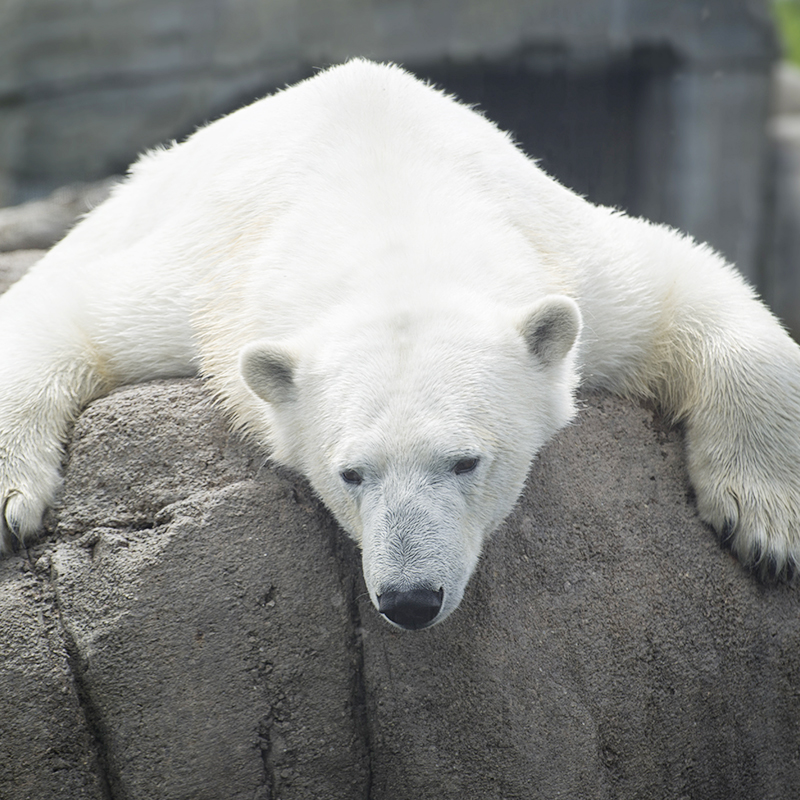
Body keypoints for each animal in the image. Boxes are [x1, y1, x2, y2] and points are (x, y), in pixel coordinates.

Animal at [1, 59, 800, 628]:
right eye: (350, 472)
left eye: (466, 461)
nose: (410, 600)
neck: (385, 194)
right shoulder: (210, 282)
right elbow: (63, 306)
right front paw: (12, 505)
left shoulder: (567, 258)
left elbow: (686, 282)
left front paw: (765, 526)